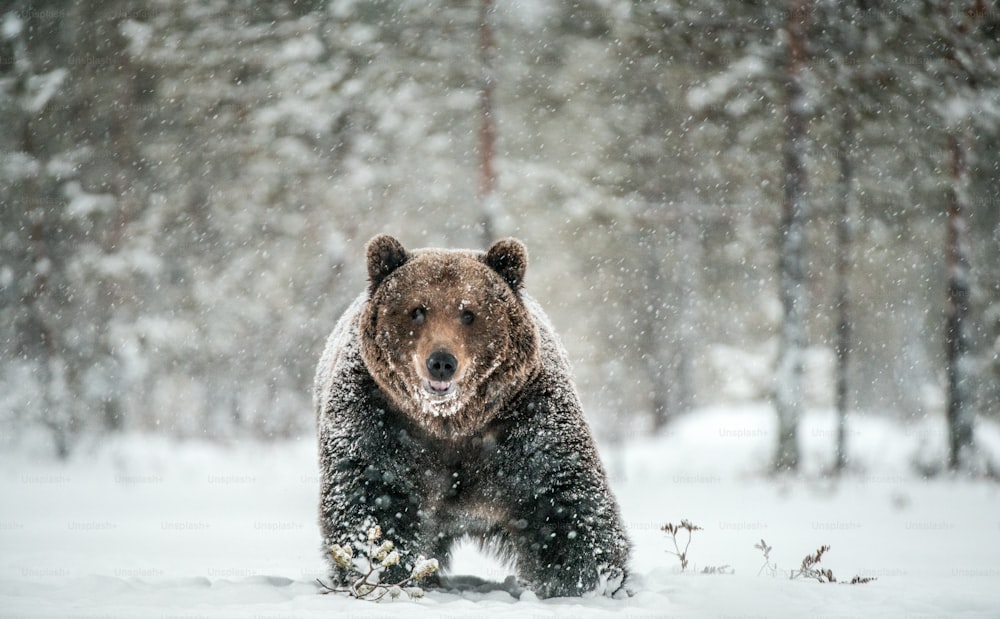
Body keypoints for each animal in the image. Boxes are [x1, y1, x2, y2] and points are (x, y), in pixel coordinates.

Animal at [312, 235, 628, 600]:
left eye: (468, 312)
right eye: (417, 310)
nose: (441, 361)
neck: (452, 422)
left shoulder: (527, 419)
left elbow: (561, 496)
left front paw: (586, 580)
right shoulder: (379, 417)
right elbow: (374, 497)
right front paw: (382, 572)